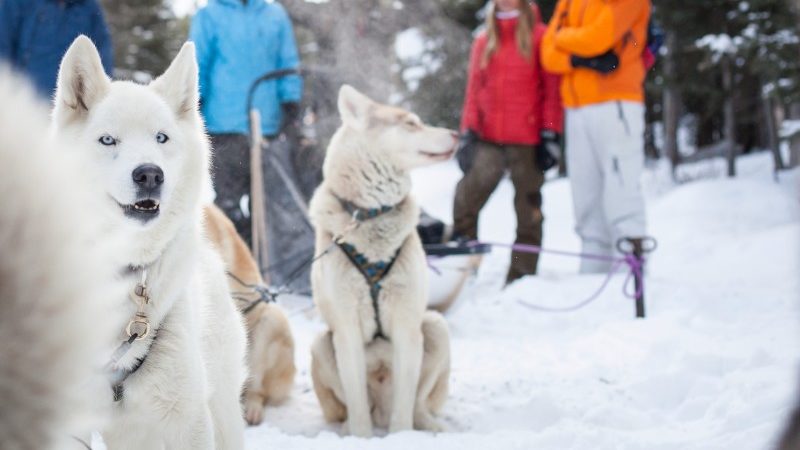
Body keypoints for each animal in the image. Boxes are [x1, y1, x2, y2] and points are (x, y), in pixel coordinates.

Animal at [308, 84, 454, 436]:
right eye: (411, 123)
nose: (457, 134)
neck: (371, 214)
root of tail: (381, 412)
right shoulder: (346, 331)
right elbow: (357, 403)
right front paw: (360, 439)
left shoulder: (406, 326)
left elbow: (405, 405)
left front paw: (401, 438)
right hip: (321, 343)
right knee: (353, 410)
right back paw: (344, 431)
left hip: (435, 326)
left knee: (416, 405)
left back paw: (429, 425)